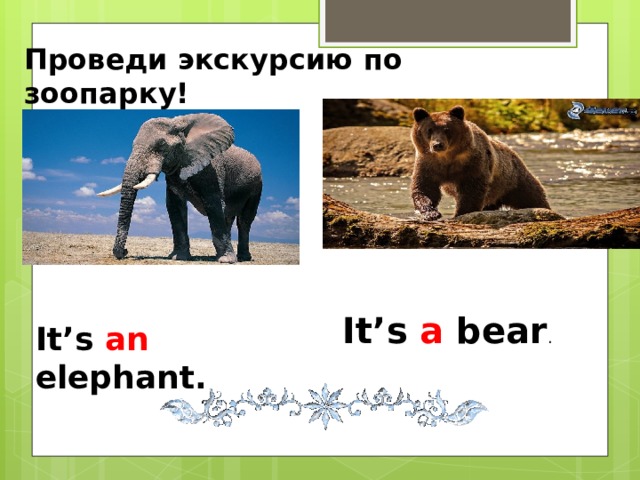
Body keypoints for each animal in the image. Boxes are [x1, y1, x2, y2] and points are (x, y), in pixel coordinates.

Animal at [97, 113, 262, 263]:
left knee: (244, 220)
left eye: (161, 145)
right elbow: (175, 207)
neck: (179, 123)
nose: (125, 252)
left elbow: (214, 205)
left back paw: (242, 258)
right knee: (228, 216)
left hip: (257, 186)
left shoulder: (212, 170)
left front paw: (226, 261)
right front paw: (179, 257)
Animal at [410, 105, 550, 220]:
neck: (447, 158)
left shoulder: (473, 164)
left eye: (446, 129)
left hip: (513, 181)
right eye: (429, 130)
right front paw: (431, 213)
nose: (437, 145)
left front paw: (460, 213)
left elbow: (472, 190)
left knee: (532, 197)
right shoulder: (428, 163)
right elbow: (425, 188)